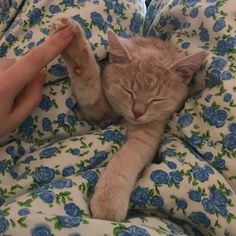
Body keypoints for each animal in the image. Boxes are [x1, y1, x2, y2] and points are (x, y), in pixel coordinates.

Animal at [51, 17, 206, 221]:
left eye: (156, 99)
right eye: (128, 91)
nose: (138, 112)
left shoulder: (149, 132)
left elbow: (127, 158)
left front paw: (108, 200)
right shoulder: (98, 111)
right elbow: (88, 84)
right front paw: (72, 41)